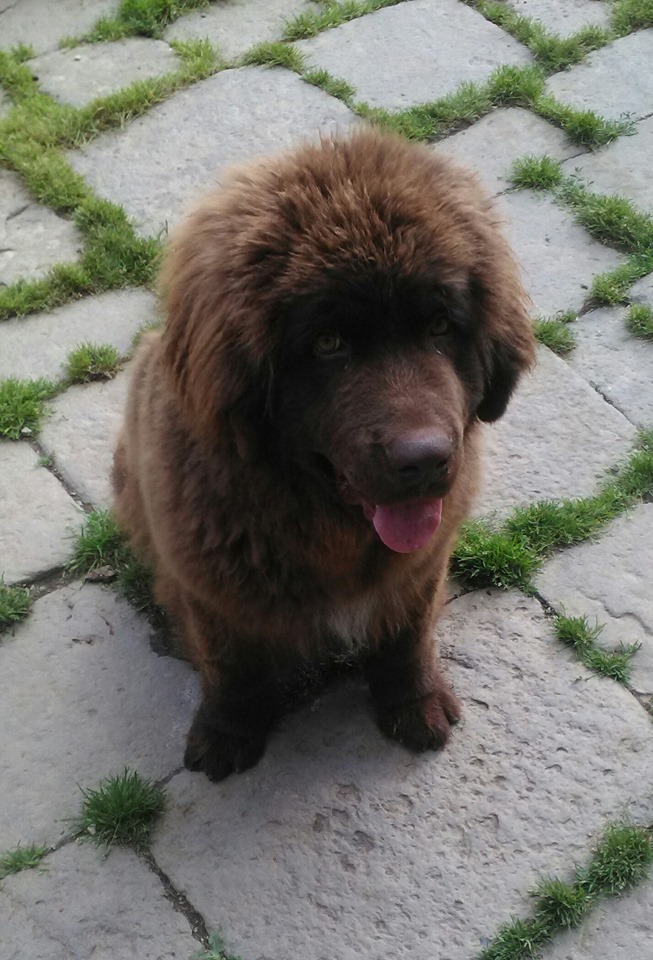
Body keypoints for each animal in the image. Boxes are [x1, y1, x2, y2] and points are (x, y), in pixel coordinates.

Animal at [113, 129, 535, 782]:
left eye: (441, 326)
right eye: (328, 344)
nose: (425, 460)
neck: (328, 524)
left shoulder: (420, 570)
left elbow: (406, 637)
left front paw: (413, 704)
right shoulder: (209, 584)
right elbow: (230, 666)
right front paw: (226, 735)